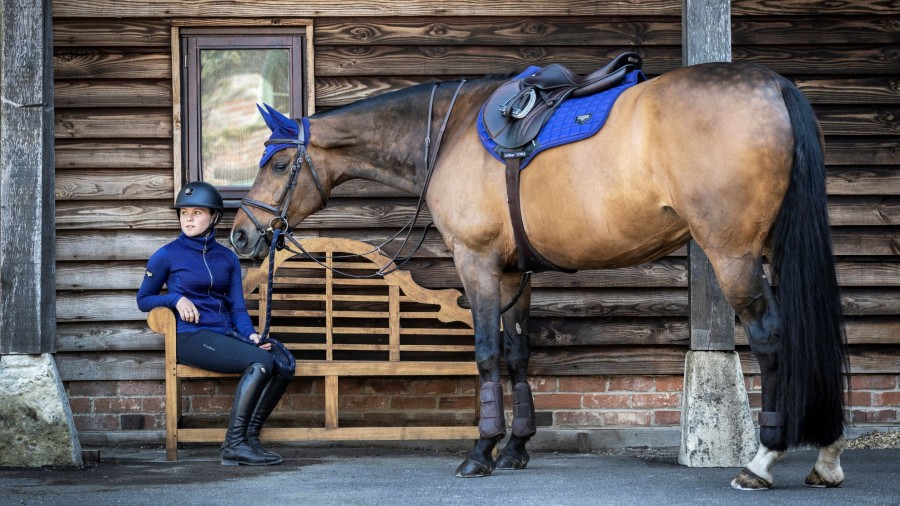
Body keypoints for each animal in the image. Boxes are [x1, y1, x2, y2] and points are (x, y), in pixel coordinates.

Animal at [232, 59, 852, 490]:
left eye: (279, 164)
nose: (241, 235)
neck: (452, 132)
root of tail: (773, 86)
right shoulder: (514, 273)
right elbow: (516, 355)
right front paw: (516, 448)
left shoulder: (477, 261)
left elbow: (486, 353)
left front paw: (480, 452)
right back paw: (826, 456)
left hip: (733, 254)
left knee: (773, 339)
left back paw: (763, 461)